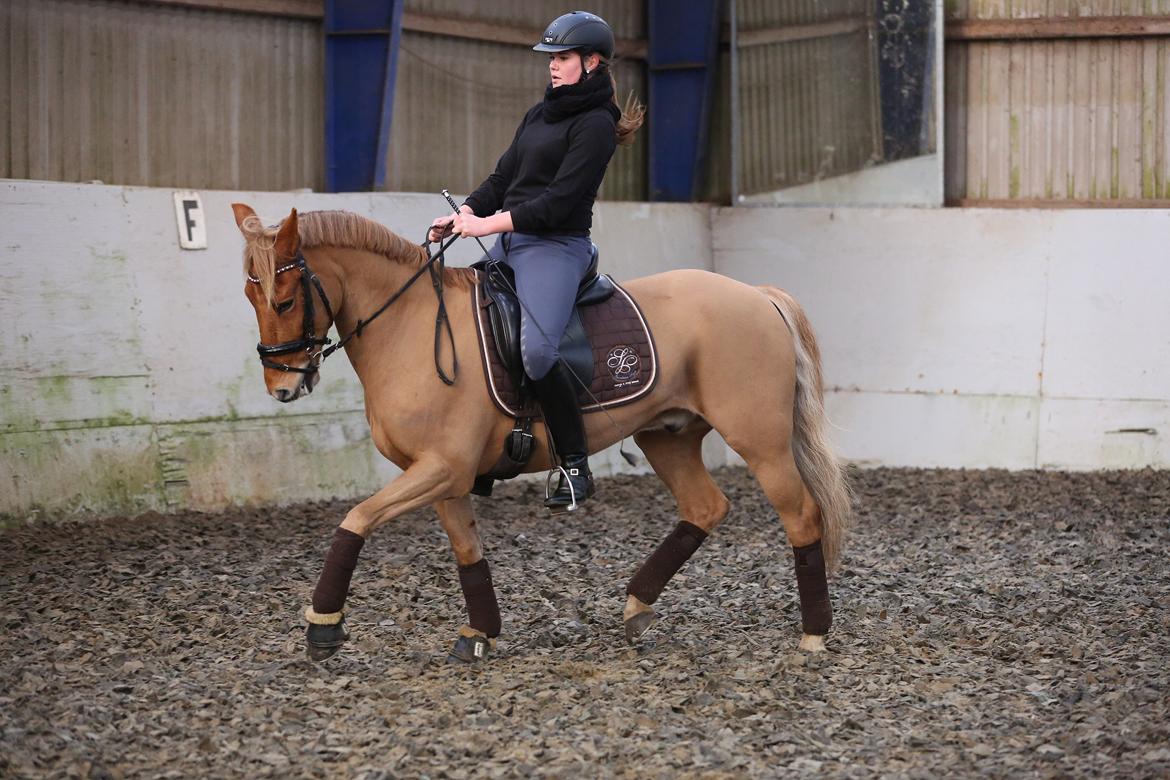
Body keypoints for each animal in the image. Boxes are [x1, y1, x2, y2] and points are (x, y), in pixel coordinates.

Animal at [232, 204, 851, 664]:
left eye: (285, 299)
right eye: (250, 298)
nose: (282, 388)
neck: (409, 327)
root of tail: (755, 293)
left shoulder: (442, 469)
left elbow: (355, 519)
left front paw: (323, 625)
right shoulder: (442, 476)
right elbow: (467, 550)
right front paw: (479, 634)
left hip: (759, 441)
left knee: (802, 516)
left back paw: (814, 634)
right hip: (666, 435)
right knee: (705, 507)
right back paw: (636, 606)